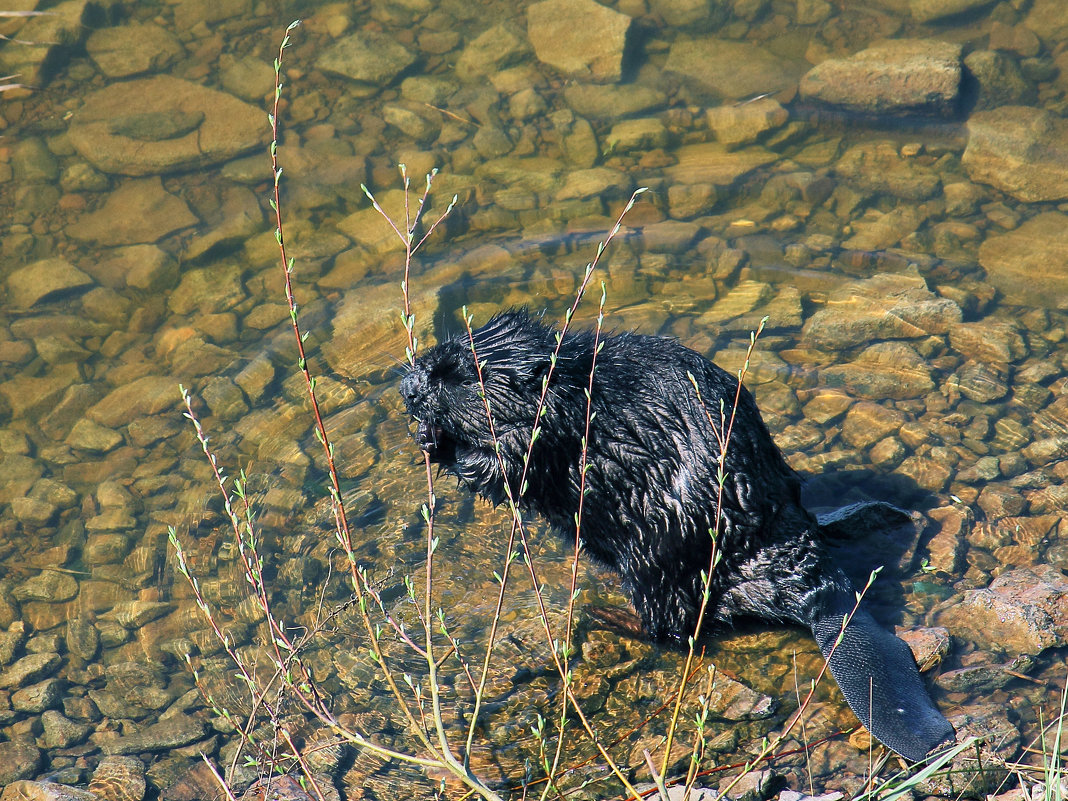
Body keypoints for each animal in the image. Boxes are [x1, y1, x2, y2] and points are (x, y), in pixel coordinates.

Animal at [397, 309, 956, 760]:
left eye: (457, 376)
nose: (408, 387)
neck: (578, 386)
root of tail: (827, 603)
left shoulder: (556, 426)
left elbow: (509, 467)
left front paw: (448, 447)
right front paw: (427, 436)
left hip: (660, 558)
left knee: (671, 628)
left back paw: (603, 614)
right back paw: (875, 514)